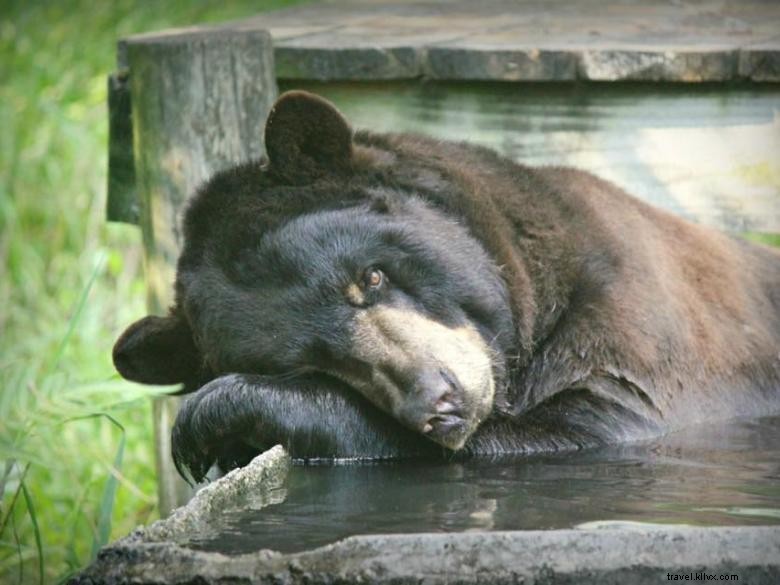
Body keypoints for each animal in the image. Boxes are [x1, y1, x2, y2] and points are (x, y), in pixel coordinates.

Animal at [114, 91, 780, 482]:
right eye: (313, 363)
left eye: (371, 276)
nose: (440, 403)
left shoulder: (638, 328)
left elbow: (593, 422)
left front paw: (215, 415)